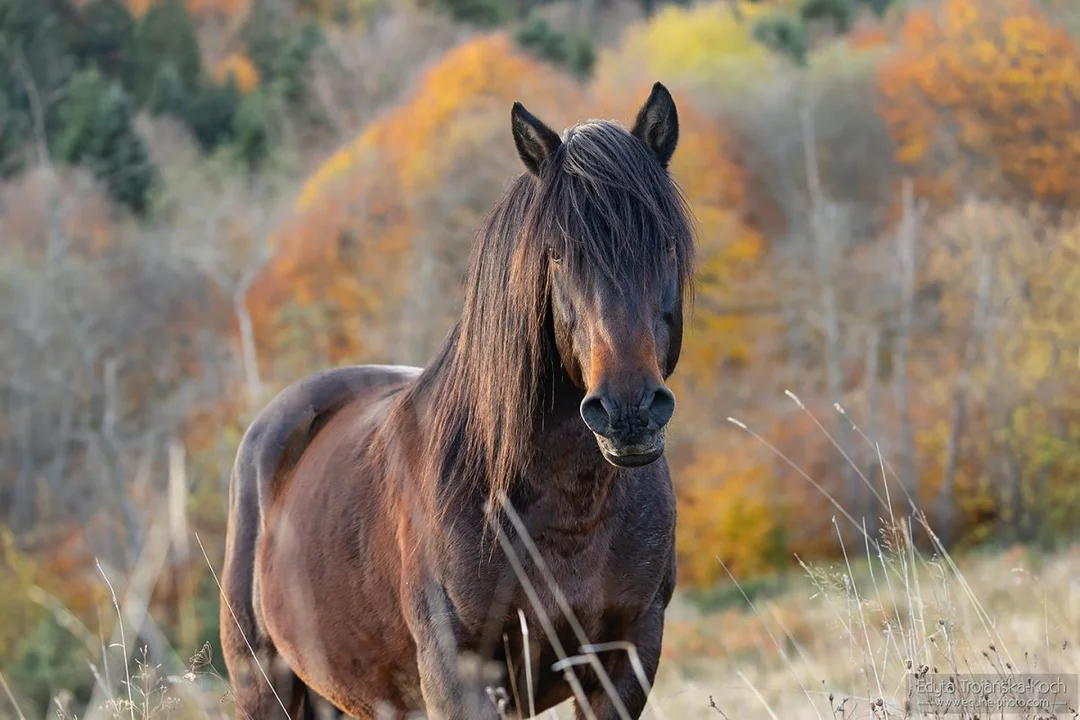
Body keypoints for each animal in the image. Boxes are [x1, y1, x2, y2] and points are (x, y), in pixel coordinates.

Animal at [222, 81, 695, 716]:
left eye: (664, 245)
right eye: (556, 254)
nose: (629, 412)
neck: (564, 503)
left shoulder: (628, 656)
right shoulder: (460, 672)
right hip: (265, 684)